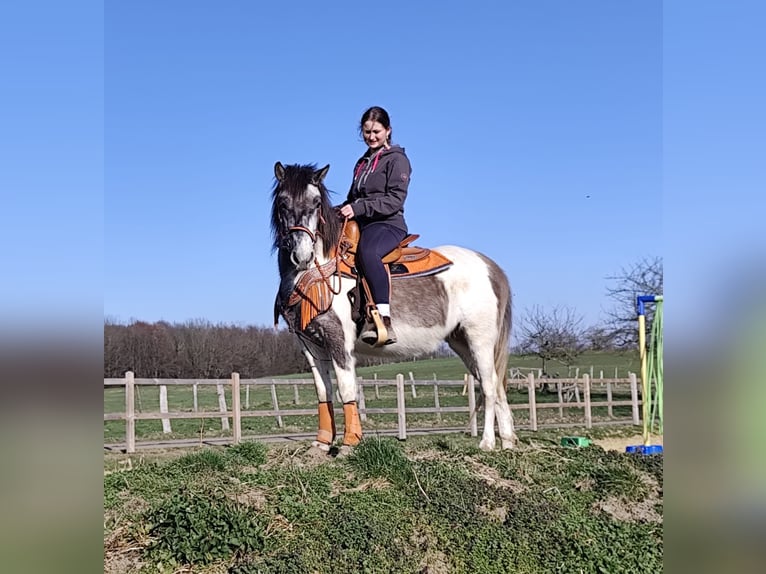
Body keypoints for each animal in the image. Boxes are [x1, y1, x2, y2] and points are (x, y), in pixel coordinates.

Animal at [270, 161, 516, 452]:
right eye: (283, 203)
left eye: (316, 202)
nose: (302, 255)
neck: (316, 271)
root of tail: (490, 266)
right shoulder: (310, 344)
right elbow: (323, 391)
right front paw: (321, 443)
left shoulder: (339, 341)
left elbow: (346, 389)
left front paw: (350, 442)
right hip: (461, 342)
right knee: (494, 385)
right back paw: (508, 442)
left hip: (480, 338)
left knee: (488, 385)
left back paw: (487, 442)